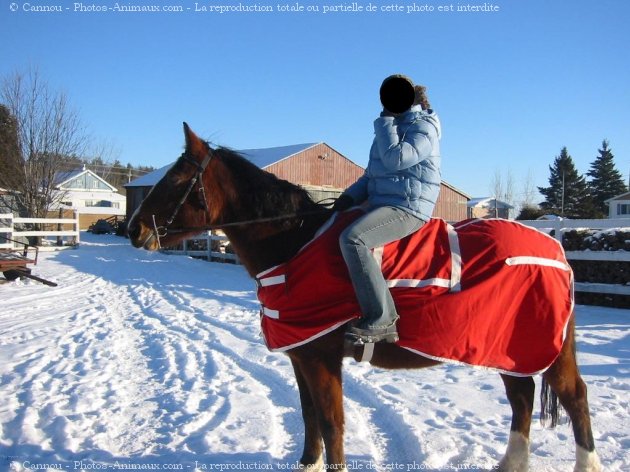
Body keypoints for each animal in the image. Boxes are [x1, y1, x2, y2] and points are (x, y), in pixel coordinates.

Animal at [127, 124, 604, 472]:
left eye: (178, 179)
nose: (133, 228)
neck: (294, 244)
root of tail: (556, 248)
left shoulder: (321, 359)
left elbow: (331, 424)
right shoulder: (302, 356)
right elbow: (311, 422)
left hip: (546, 350)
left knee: (575, 399)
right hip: (507, 348)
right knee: (522, 398)